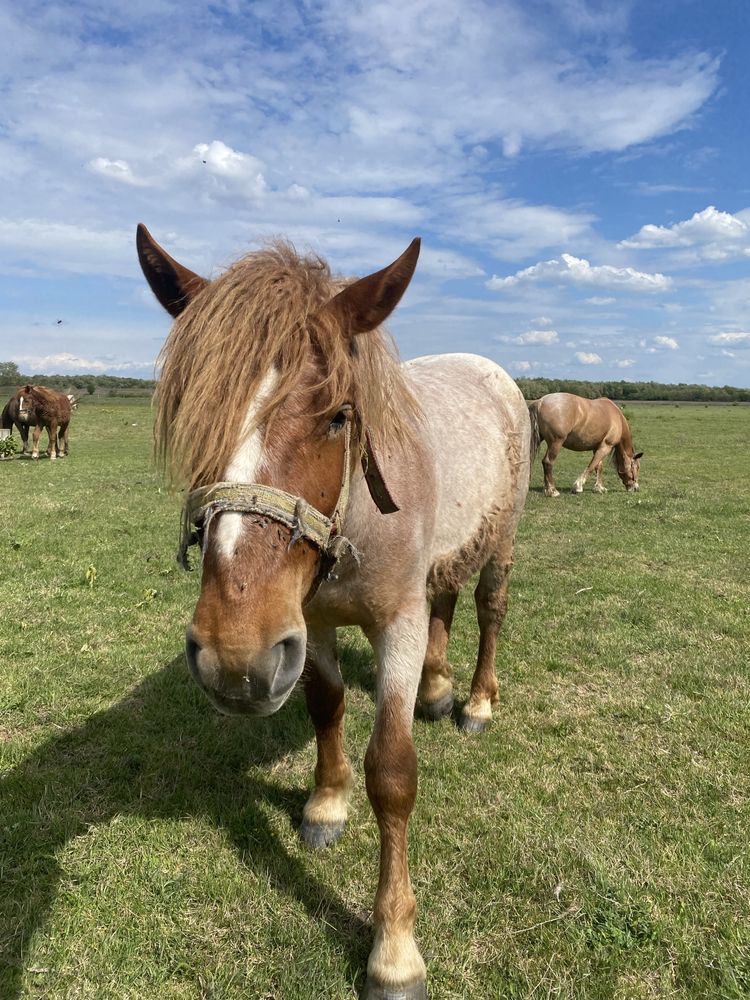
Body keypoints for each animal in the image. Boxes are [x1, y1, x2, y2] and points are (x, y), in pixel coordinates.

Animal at [138, 225, 532, 1000]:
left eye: (338, 417)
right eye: (196, 417)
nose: (232, 658)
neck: (355, 521)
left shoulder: (395, 623)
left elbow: (393, 771)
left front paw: (395, 951)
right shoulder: (305, 625)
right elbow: (324, 704)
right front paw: (325, 804)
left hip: (500, 539)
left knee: (489, 608)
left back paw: (474, 702)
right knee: (447, 601)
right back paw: (437, 691)